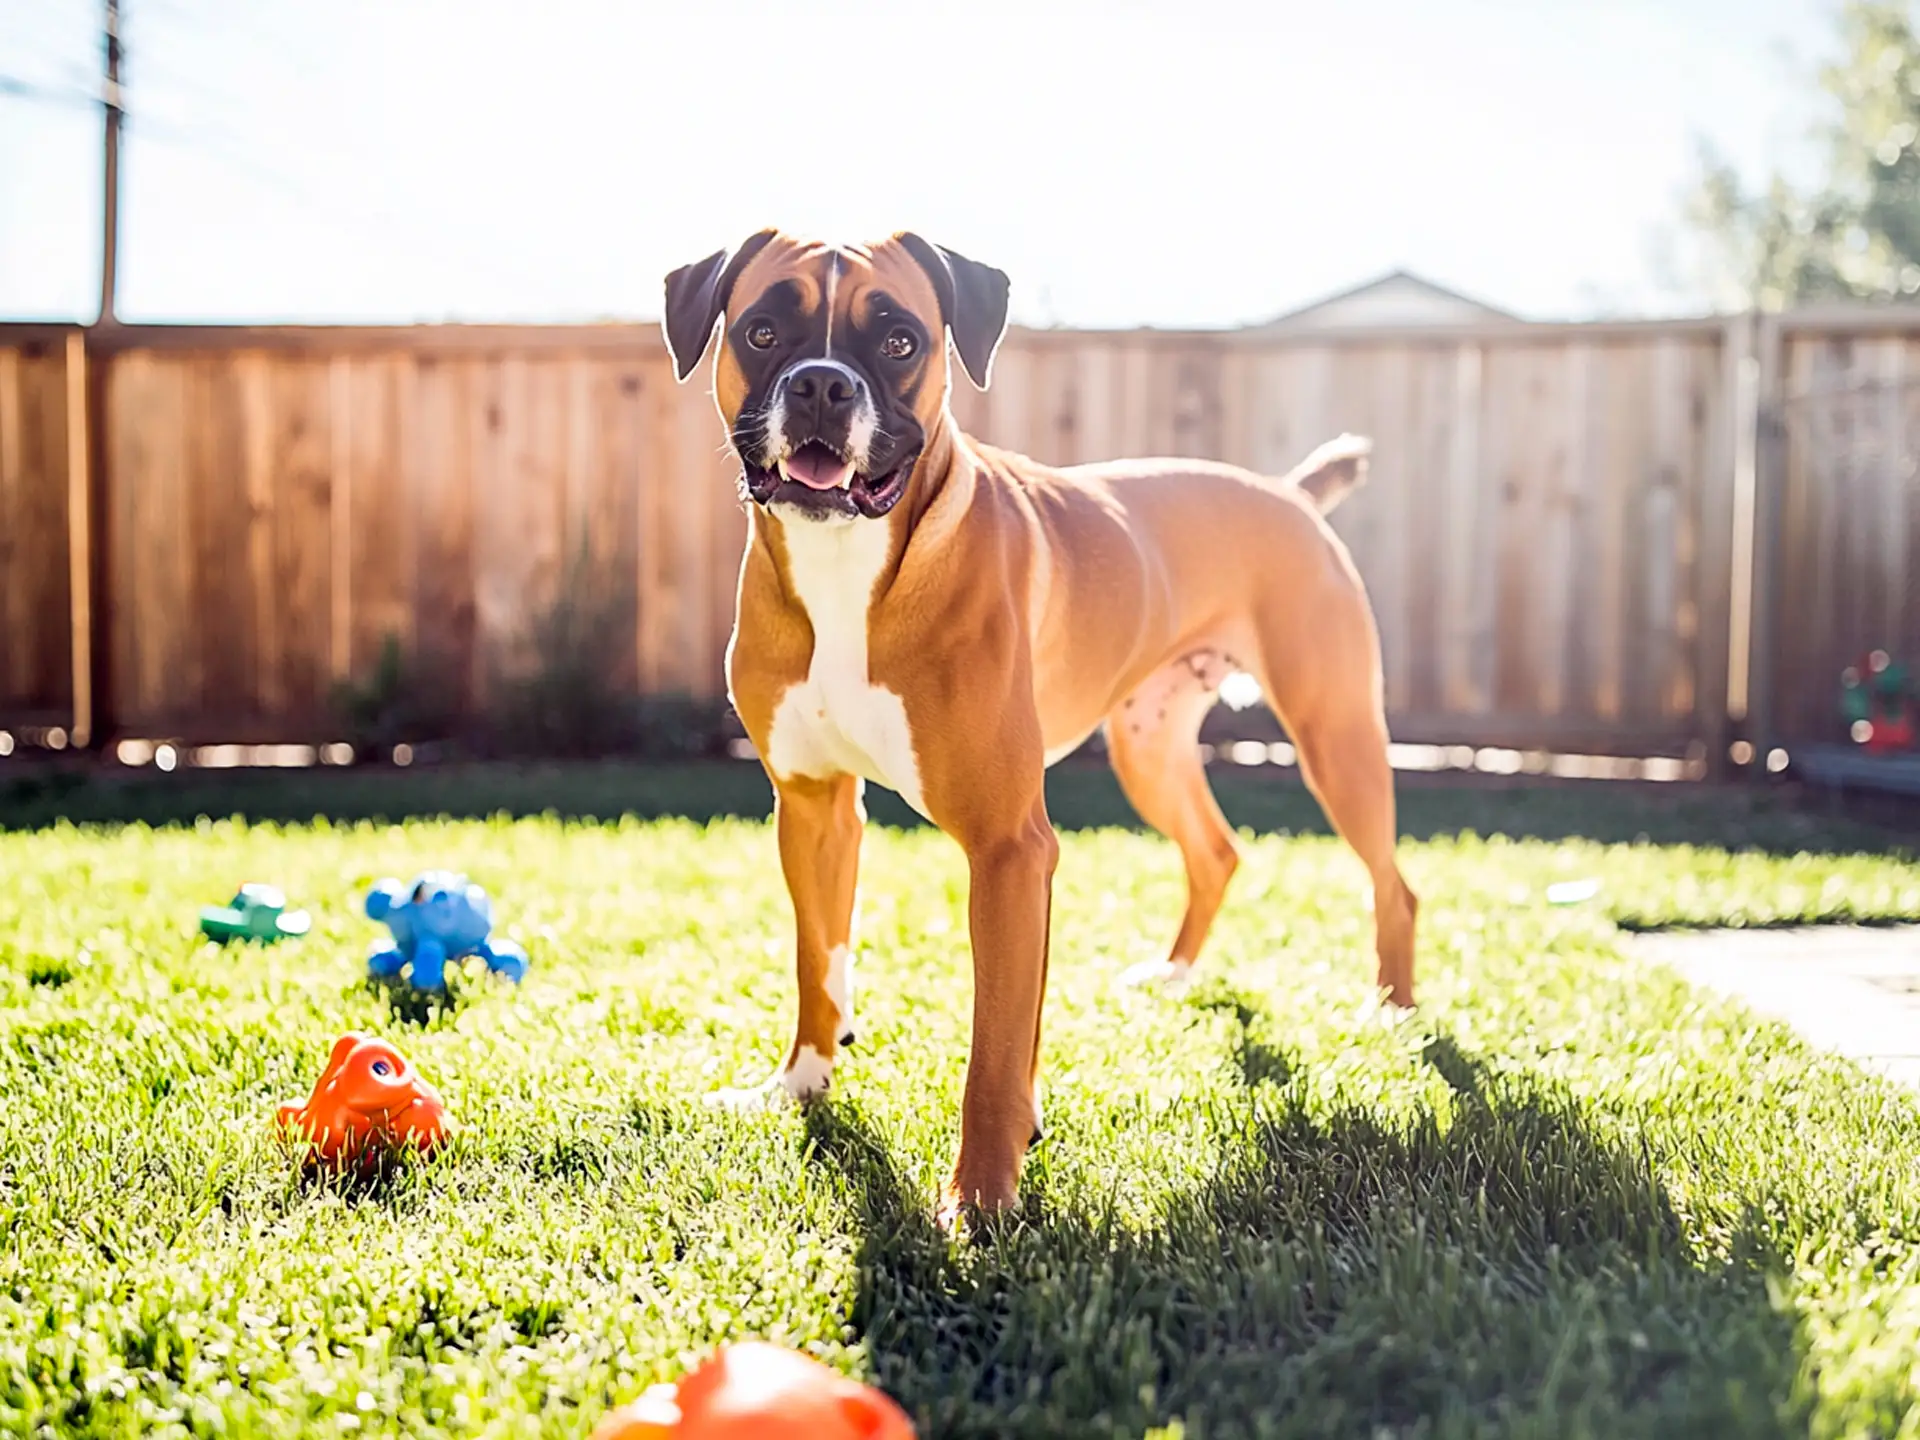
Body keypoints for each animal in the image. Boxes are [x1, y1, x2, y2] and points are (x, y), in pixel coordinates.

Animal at [668, 231, 1420, 1221]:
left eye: (900, 341)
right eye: (761, 330)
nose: (822, 384)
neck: (850, 565)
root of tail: (1286, 493)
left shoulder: (1008, 851)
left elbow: (993, 1051)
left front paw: (980, 1204)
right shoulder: (815, 810)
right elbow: (817, 965)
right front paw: (802, 1084)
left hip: (1337, 740)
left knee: (1394, 885)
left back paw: (1393, 1014)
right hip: (1150, 750)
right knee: (1217, 852)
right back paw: (1175, 976)